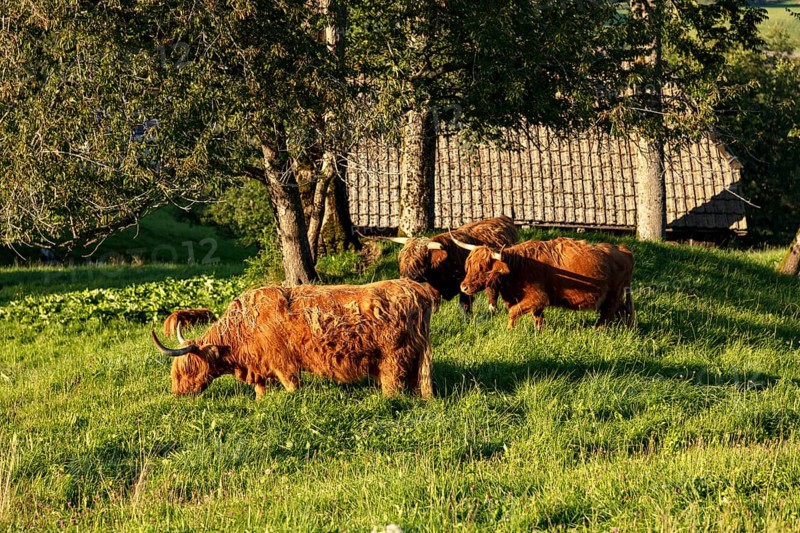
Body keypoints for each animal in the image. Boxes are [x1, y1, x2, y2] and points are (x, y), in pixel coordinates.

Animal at [150, 279, 440, 399]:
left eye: (185, 371)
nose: (177, 394)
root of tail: (415, 288)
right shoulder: (260, 366)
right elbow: (260, 391)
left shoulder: (284, 363)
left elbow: (291, 387)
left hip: (393, 357)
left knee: (394, 385)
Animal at [376, 216, 518, 313]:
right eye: (401, 258)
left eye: (418, 260)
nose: (405, 278)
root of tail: (503, 218)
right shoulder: (432, 290)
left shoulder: (465, 287)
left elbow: (465, 307)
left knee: (492, 294)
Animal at [452, 235, 634, 329]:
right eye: (468, 265)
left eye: (482, 268)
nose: (463, 286)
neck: (519, 266)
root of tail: (623, 249)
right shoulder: (536, 302)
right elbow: (538, 318)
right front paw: (540, 332)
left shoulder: (539, 297)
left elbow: (513, 312)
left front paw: (510, 330)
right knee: (623, 311)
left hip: (613, 295)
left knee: (607, 314)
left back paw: (598, 330)